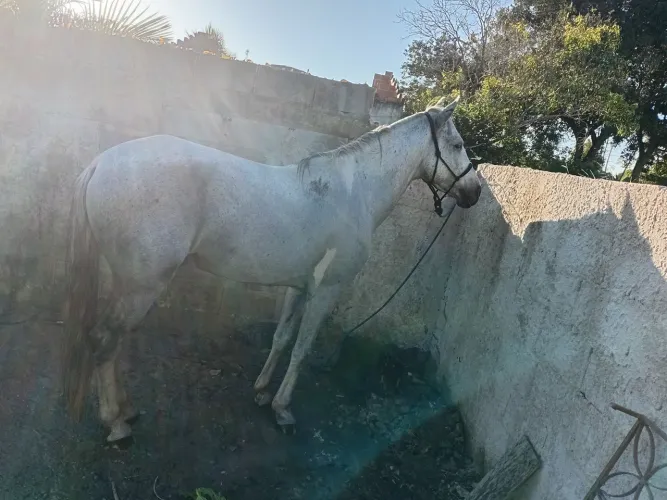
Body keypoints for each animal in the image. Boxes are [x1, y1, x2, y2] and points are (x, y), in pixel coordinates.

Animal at [61, 96, 481, 442]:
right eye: (457, 145)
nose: (474, 192)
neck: (354, 191)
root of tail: (100, 163)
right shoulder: (328, 289)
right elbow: (302, 348)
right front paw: (283, 410)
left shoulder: (299, 287)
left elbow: (282, 339)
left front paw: (262, 392)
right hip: (141, 285)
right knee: (105, 340)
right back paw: (116, 424)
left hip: (127, 281)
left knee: (115, 341)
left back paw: (127, 410)